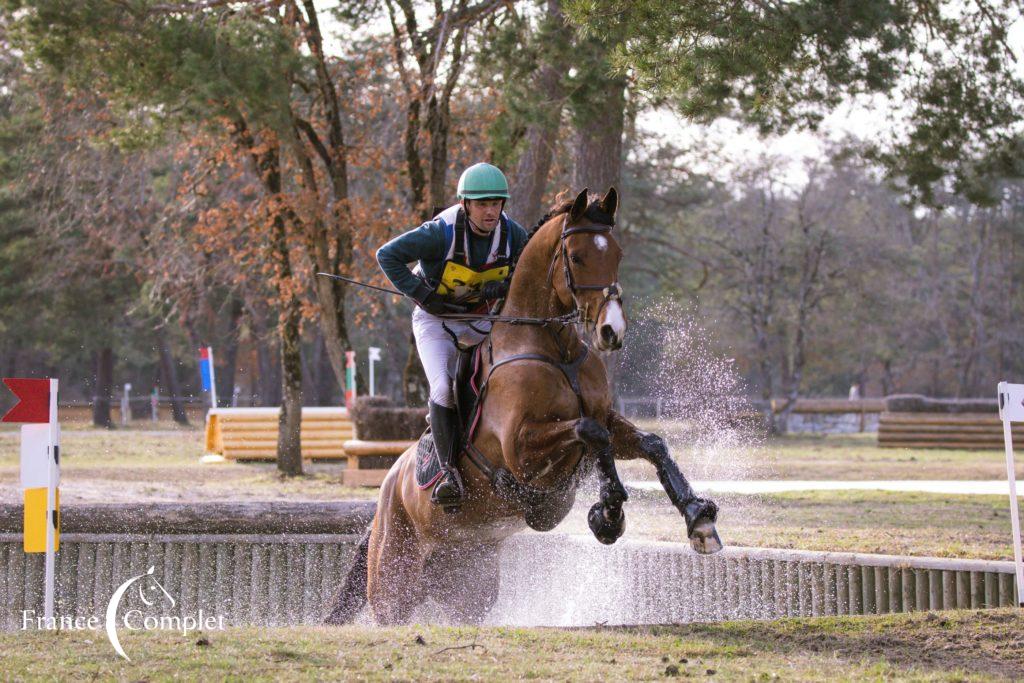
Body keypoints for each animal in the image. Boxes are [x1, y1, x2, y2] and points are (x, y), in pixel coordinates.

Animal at [325, 187, 720, 626]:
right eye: (577, 257)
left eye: (617, 254)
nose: (611, 331)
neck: (554, 349)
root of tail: (385, 493)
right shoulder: (521, 450)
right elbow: (590, 432)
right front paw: (608, 513)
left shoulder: (604, 417)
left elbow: (649, 443)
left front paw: (698, 517)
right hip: (394, 582)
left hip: (467, 584)